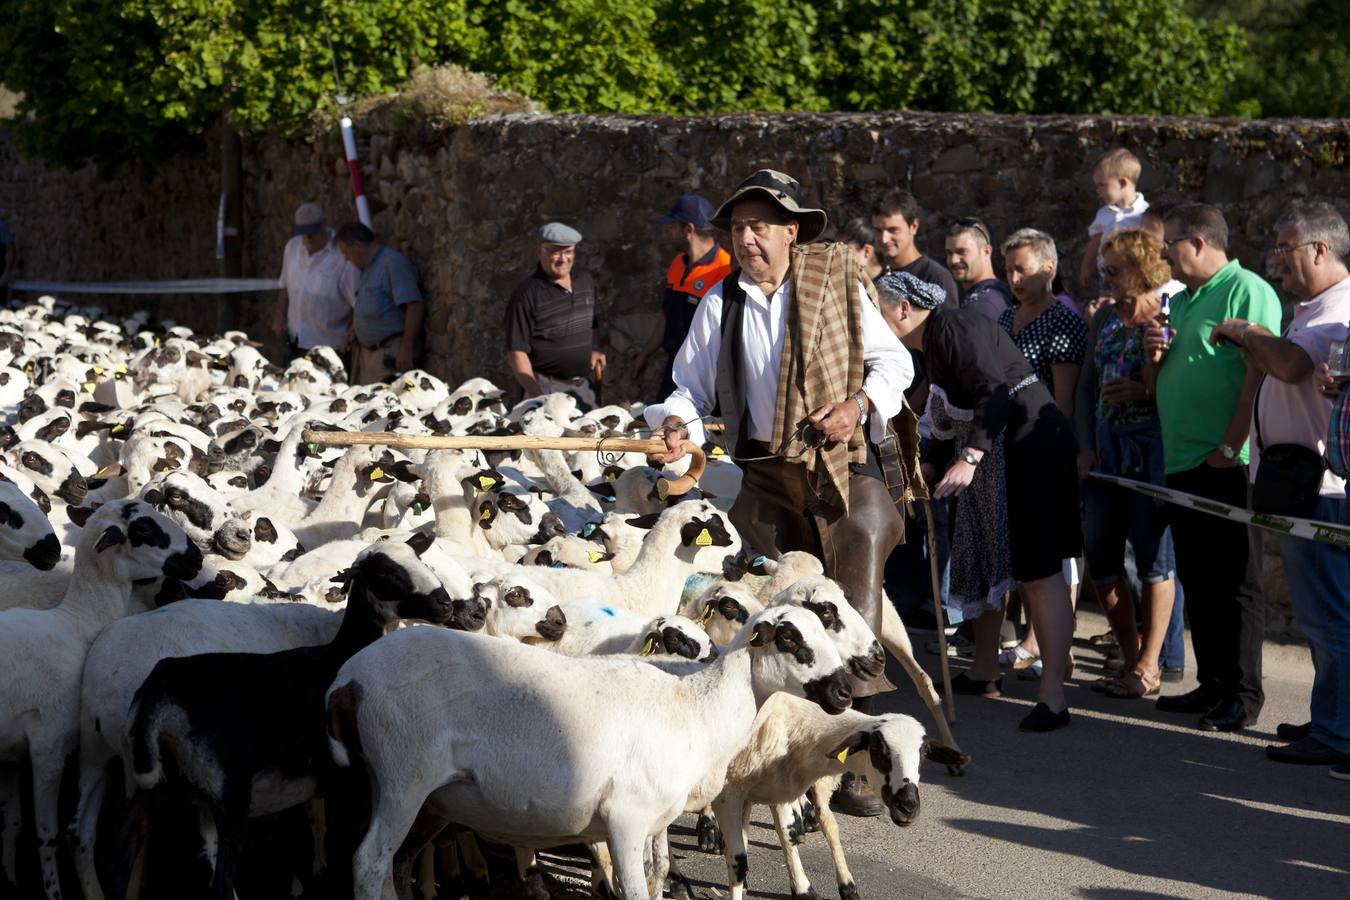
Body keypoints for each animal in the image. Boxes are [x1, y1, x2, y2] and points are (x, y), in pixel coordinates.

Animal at [0, 504, 199, 895]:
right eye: (144, 530)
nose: (198, 558)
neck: (76, 625)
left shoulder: (12, 758)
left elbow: (12, 823)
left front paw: (9, 877)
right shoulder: (48, 748)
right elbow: (47, 838)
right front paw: (53, 891)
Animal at [126, 539, 453, 895]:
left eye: (420, 559)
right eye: (387, 574)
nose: (445, 604)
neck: (342, 652)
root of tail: (159, 694)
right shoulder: (351, 781)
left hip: (166, 791)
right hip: (229, 791)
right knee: (221, 880)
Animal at [329, 604, 853, 900]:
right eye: (790, 638)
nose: (845, 692)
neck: (693, 707)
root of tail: (349, 678)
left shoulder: (652, 822)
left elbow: (659, 875)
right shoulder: (625, 819)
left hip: (432, 800)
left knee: (395, 864)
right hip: (402, 777)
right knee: (368, 862)